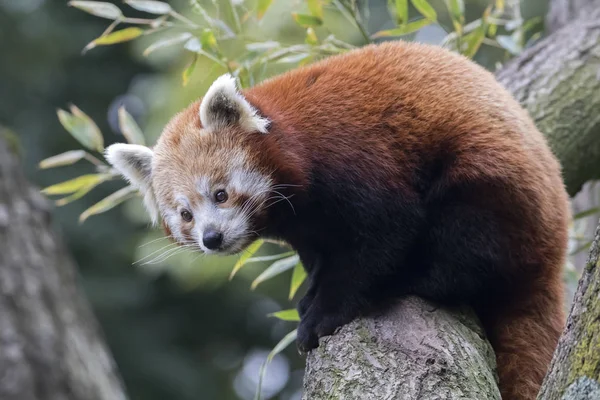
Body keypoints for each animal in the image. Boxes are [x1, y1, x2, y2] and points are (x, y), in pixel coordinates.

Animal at [105, 41, 568, 400]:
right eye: (185, 214)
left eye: (220, 194)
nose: (212, 237)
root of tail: (554, 252)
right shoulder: (307, 226)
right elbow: (321, 254)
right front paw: (311, 290)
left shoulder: (355, 156)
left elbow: (385, 233)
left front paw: (321, 315)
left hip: (492, 187)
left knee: (467, 244)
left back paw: (413, 277)